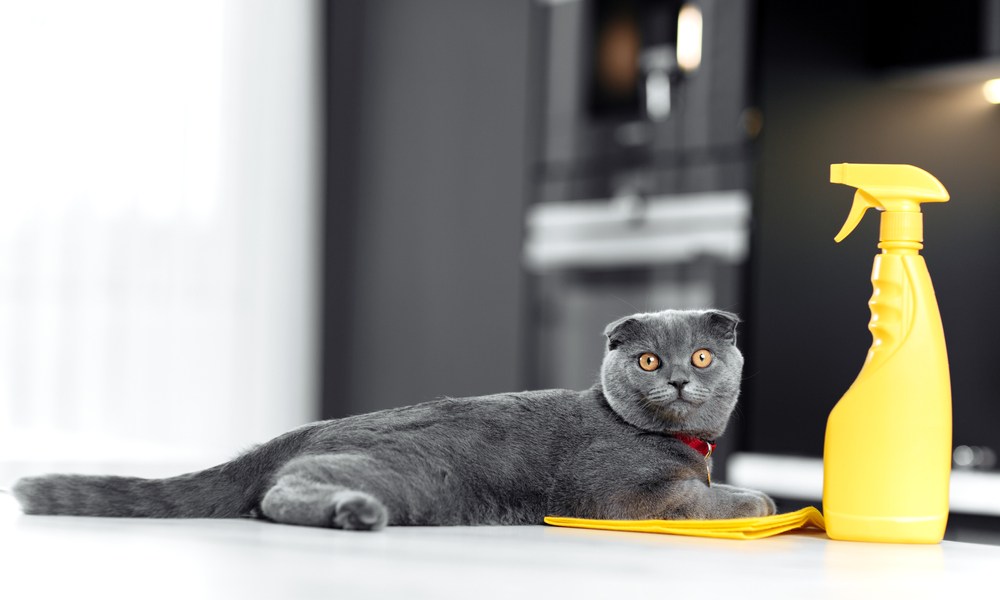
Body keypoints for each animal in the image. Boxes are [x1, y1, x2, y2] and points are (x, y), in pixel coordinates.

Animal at [15, 310, 776, 528]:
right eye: (648, 361)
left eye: (702, 356)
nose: (678, 377)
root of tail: (296, 432)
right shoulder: (631, 496)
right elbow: (716, 499)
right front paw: (762, 499)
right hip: (405, 472)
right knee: (276, 495)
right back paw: (353, 513)